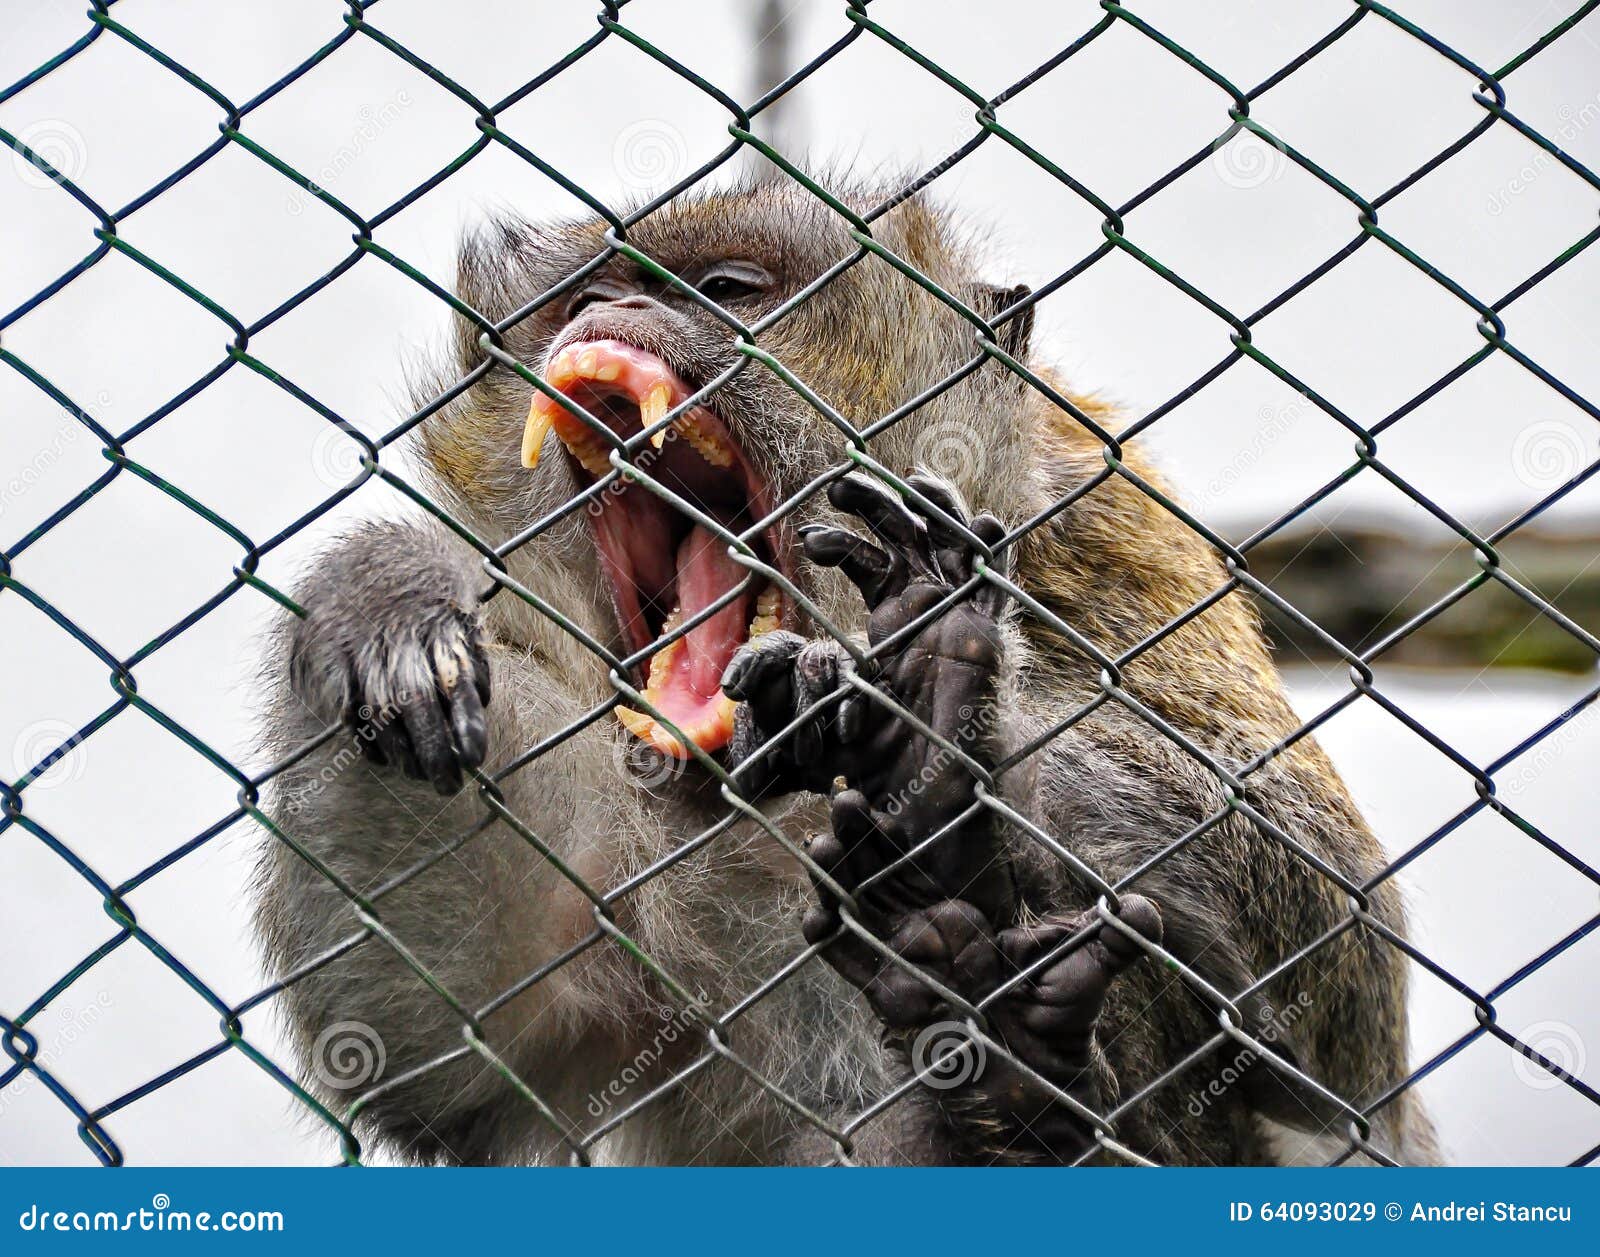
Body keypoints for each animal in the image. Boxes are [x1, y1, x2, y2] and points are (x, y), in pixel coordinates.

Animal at [253, 175, 1440, 1166]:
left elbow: (1335, 967)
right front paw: (383, 594)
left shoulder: (1103, 530)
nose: (603, 321)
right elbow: (450, 1044)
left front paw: (926, 697)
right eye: (582, 298)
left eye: (725, 290)